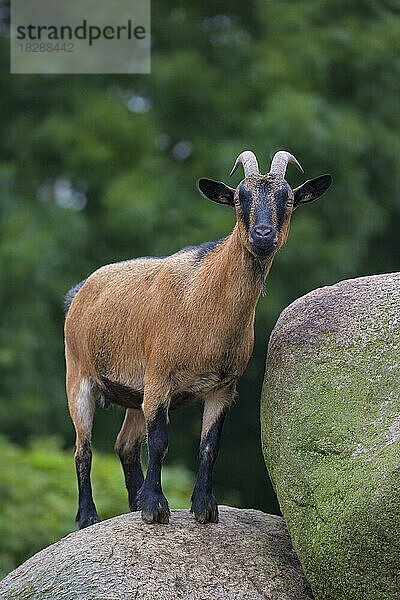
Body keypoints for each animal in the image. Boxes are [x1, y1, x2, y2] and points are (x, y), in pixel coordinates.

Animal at [63, 151, 332, 528]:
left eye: (288, 199)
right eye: (239, 199)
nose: (263, 234)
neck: (202, 301)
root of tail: (80, 292)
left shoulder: (223, 387)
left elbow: (210, 445)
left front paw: (204, 507)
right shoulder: (159, 377)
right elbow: (159, 441)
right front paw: (156, 508)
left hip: (133, 394)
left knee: (125, 444)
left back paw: (132, 502)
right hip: (79, 376)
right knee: (83, 448)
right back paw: (89, 517)